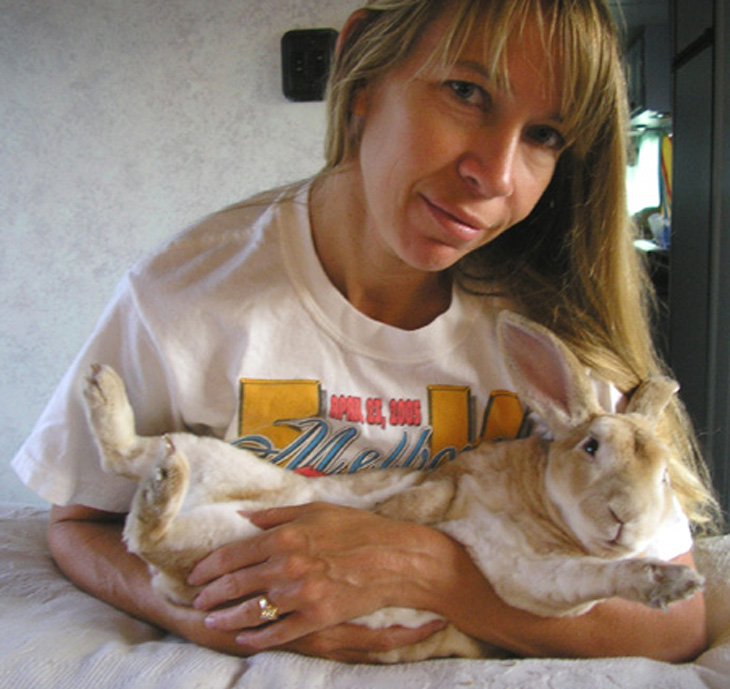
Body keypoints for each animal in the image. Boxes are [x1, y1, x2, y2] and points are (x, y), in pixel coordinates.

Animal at [81, 310, 704, 663]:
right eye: (591, 447)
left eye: (664, 477)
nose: (626, 521)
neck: (539, 511)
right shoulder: (455, 480)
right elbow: (425, 496)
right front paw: (387, 516)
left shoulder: (534, 581)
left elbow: (597, 578)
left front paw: (675, 584)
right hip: (221, 468)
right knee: (130, 470)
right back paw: (105, 392)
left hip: (214, 534)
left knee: (146, 525)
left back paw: (156, 479)